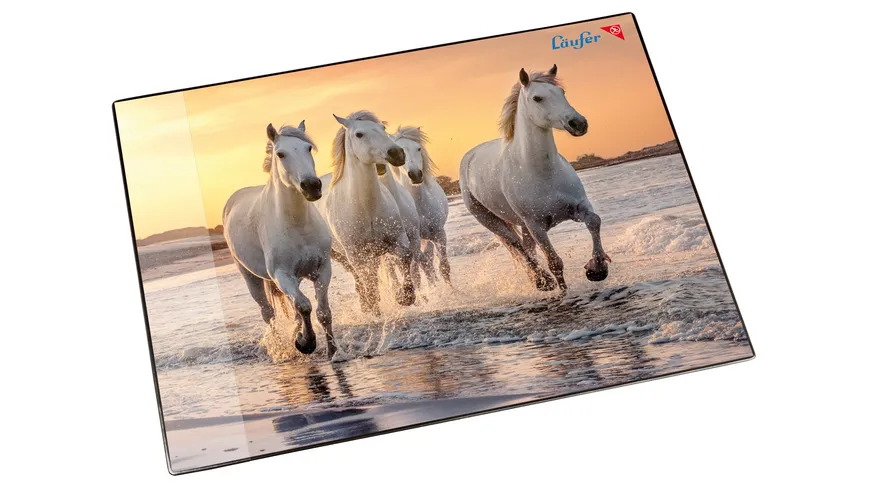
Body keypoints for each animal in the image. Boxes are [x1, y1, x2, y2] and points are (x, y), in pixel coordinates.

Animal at [222, 122, 337, 358]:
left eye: (308, 148)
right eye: (280, 154)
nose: (312, 186)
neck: (298, 225)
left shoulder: (322, 269)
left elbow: (322, 312)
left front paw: (333, 352)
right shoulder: (282, 275)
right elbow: (304, 306)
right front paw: (306, 343)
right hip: (250, 276)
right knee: (268, 313)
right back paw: (278, 346)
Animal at [313, 111, 416, 315]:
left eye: (382, 128)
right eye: (359, 134)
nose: (397, 153)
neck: (367, 209)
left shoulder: (397, 239)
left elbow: (405, 256)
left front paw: (405, 296)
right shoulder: (356, 254)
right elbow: (367, 279)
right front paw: (374, 306)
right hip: (340, 255)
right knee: (358, 276)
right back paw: (366, 304)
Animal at [390, 126, 452, 285]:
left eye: (418, 148)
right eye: (401, 150)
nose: (416, 175)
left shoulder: (439, 234)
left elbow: (443, 267)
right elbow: (418, 271)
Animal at [459, 65, 611, 296]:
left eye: (562, 92)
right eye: (537, 98)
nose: (578, 123)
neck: (543, 172)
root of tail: (469, 156)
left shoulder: (578, 207)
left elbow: (594, 221)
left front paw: (597, 268)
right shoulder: (536, 226)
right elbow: (555, 262)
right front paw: (564, 292)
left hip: (521, 224)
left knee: (526, 247)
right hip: (490, 220)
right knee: (517, 246)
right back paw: (542, 281)